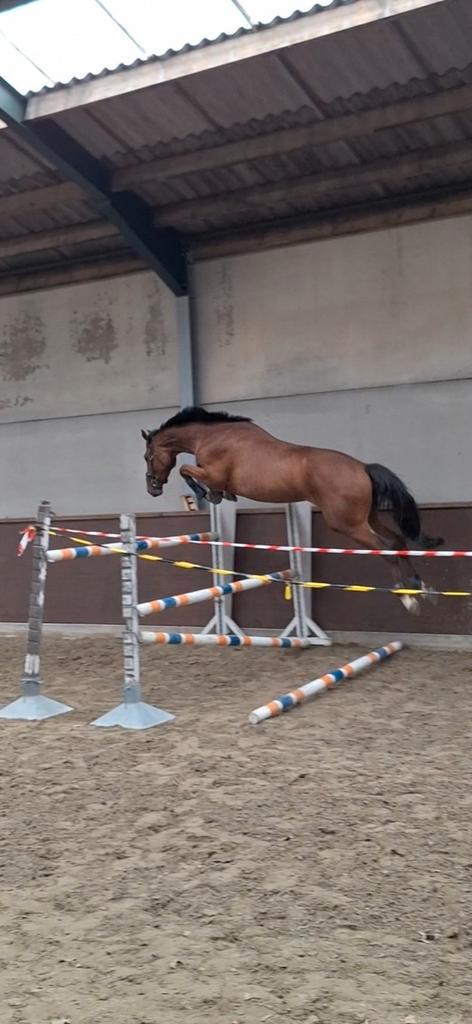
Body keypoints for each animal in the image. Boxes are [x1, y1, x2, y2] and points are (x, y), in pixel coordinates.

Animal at [141, 407, 442, 614]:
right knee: (397, 540)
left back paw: (407, 598)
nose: (152, 489)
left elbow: (186, 470)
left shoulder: (212, 473)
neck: (211, 435)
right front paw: (216, 495)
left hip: (347, 523)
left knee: (385, 549)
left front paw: (208, 493)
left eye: (148, 456)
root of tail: (363, 468)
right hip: (370, 517)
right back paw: (420, 586)